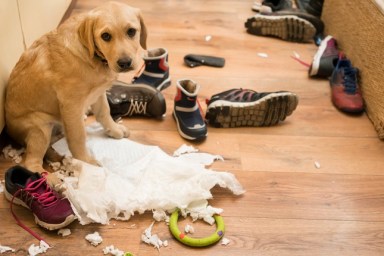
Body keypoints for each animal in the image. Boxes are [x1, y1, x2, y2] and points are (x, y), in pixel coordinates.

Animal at [5, 1, 146, 183]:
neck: (92, 57)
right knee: (31, 162)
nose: (125, 63)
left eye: (131, 31)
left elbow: (104, 112)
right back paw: (53, 180)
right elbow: (78, 137)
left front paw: (114, 130)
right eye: (106, 36)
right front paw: (86, 163)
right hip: (40, 128)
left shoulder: (98, 93)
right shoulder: (71, 105)